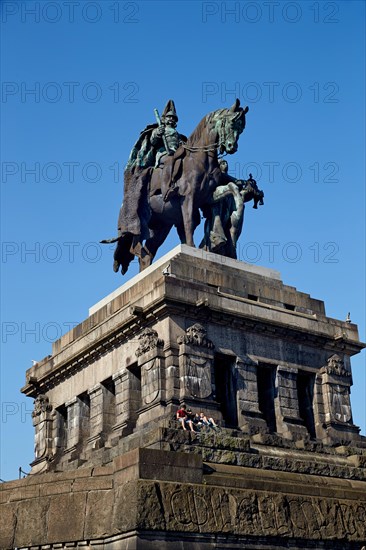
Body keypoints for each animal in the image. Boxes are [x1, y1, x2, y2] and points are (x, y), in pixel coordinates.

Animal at [112, 99, 249, 276]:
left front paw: (231, 227)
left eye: (241, 128)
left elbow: (232, 189)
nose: (232, 146)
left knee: (147, 254)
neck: (201, 160)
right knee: (137, 247)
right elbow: (188, 221)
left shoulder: (208, 196)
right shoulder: (188, 197)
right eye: (231, 123)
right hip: (142, 221)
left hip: (161, 226)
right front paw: (192, 248)